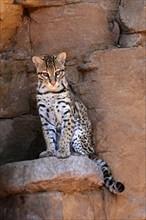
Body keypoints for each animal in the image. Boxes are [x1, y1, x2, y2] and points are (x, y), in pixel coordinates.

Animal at [32, 52, 125, 193]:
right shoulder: (45, 118)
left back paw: (74, 153)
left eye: (58, 72)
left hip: (79, 135)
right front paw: (50, 151)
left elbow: (65, 135)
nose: (53, 82)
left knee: (87, 155)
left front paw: (63, 151)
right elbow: (48, 136)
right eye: (45, 74)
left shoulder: (68, 114)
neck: (50, 92)